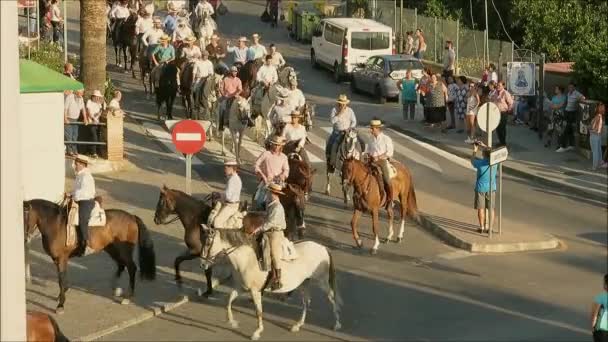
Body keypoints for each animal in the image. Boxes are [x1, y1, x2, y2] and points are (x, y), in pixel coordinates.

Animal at [22, 198, 157, 312]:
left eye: (25, 216)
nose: (24, 239)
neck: (56, 224)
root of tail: (132, 217)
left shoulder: (61, 258)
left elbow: (61, 279)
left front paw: (60, 304)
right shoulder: (57, 259)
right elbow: (62, 278)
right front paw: (62, 295)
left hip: (124, 250)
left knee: (131, 268)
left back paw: (127, 297)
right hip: (112, 249)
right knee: (121, 265)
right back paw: (116, 288)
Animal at [200, 227, 342, 340]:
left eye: (208, 243)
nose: (202, 264)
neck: (247, 259)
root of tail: (322, 247)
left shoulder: (255, 291)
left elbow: (258, 311)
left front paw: (257, 332)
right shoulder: (240, 288)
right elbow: (228, 302)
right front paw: (232, 322)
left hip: (322, 281)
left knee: (332, 298)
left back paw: (337, 324)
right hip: (304, 283)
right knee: (306, 302)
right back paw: (298, 325)